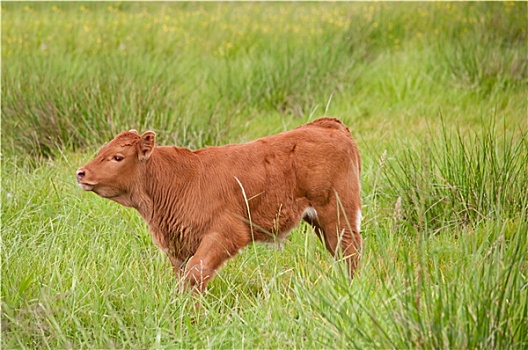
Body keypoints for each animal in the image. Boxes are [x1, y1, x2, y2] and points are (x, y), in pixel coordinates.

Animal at [76, 118, 360, 292]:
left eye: (117, 157)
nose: (81, 173)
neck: (179, 179)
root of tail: (326, 125)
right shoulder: (178, 245)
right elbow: (183, 277)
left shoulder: (225, 233)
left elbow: (196, 273)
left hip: (337, 213)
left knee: (351, 251)